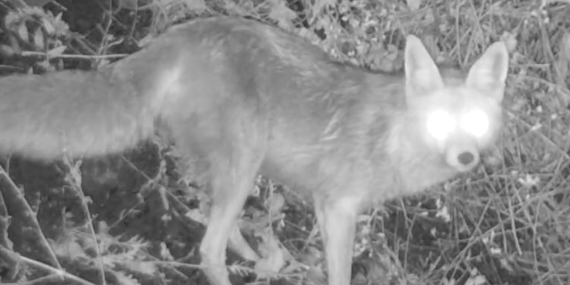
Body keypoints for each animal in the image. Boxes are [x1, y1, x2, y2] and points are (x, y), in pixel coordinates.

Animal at [0, 16, 506, 284]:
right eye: (439, 123)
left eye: (476, 124)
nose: (465, 158)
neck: (392, 138)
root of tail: (182, 33)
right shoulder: (338, 204)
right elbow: (340, 272)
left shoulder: (326, 202)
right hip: (244, 162)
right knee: (208, 248)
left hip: (232, 167)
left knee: (215, 223)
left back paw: (262, 257)